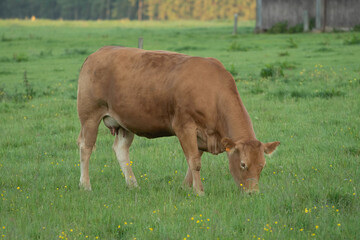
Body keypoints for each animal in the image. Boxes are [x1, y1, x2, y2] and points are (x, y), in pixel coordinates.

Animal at [76, 46, 280, 195]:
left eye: (262, 165)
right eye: (243, 164)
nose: (253, 193)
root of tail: (98, 53)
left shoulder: (202, 135)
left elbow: (193, 160)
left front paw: (185, 187)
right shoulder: (184, 126)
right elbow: (194, 161)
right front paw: (199, 192)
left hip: (124, 123)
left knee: (120, 149)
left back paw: (132, 184)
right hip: (90, 116)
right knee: (86, 147)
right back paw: (85, 185)